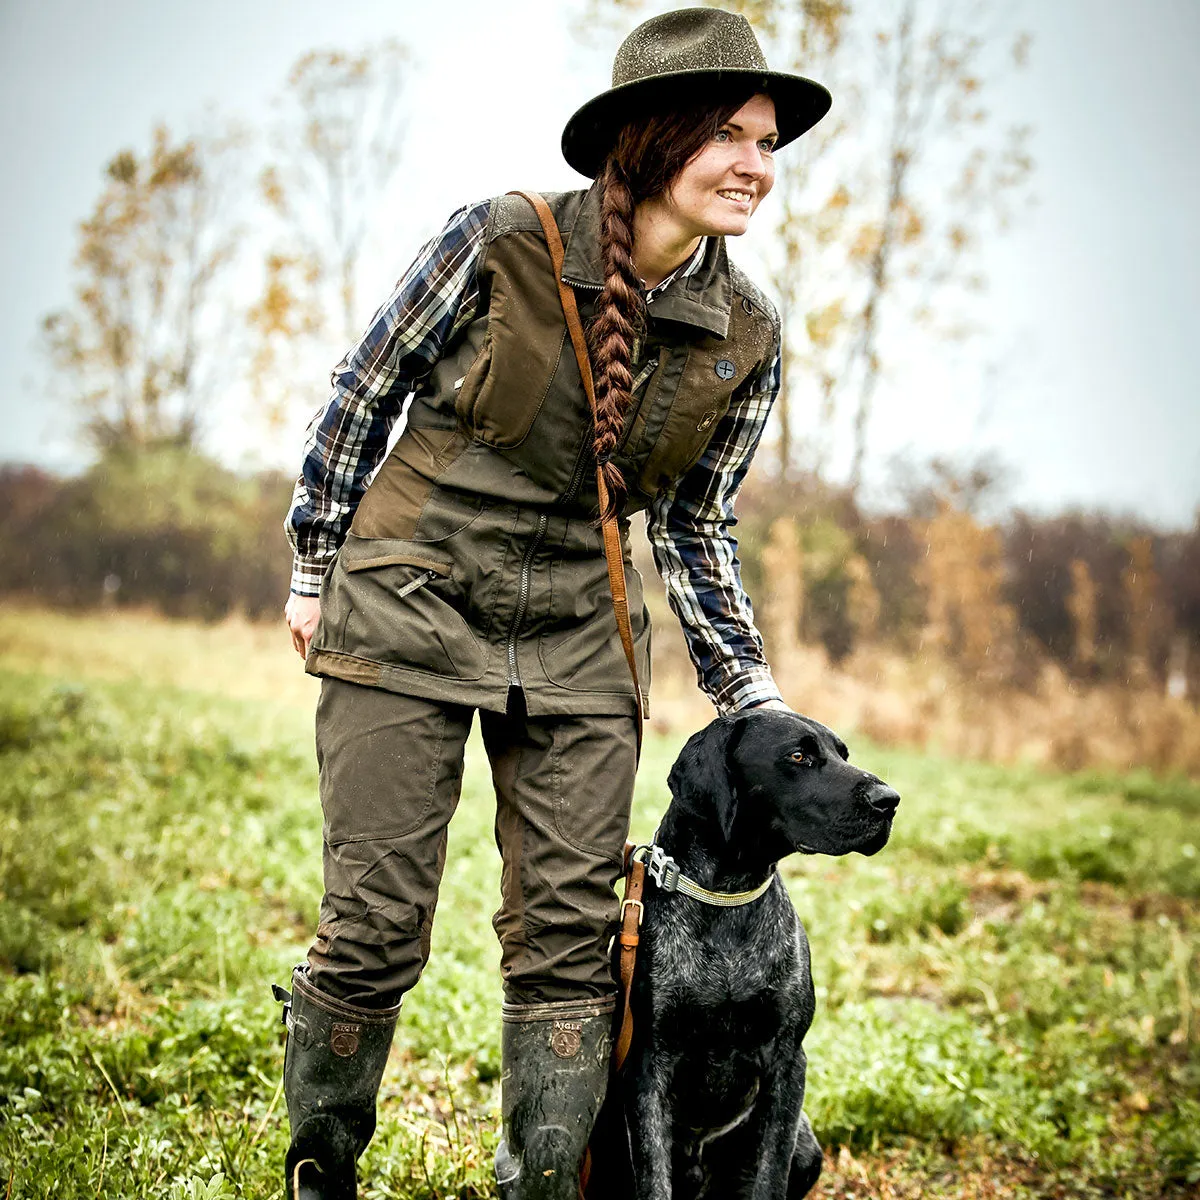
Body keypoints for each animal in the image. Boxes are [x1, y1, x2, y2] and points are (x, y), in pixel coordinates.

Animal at [585, 705, 897, 1195]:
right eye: (799, 756)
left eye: (842, 754)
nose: (890, 800)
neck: (728, 896)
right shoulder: (649, 1066)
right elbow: (654, 1179)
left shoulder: (786, 1063)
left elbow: (770, 1174)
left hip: (806, 1147)